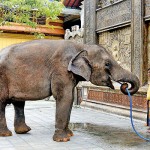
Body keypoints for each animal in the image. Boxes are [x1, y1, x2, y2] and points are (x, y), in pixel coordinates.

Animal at [0, 39, 140, 142]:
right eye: (107, 64)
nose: (125, 86)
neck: (81, 46)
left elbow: (70, 98)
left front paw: (70, 134)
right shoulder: (61, 69)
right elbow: (65, 97)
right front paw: (63, 140)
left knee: (19, 102)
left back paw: (23, 131)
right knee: (2, 103)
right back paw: (6, 134)